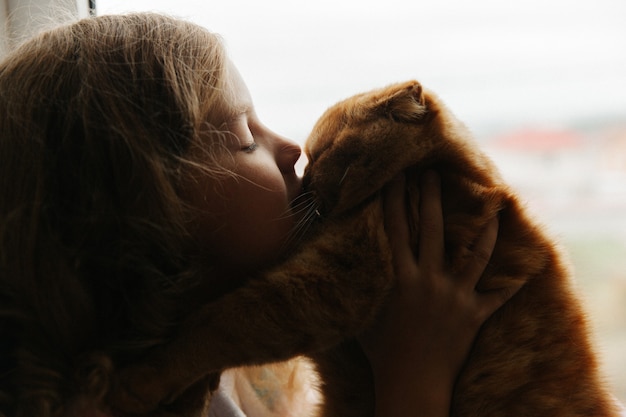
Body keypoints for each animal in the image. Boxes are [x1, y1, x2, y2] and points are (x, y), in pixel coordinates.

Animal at [113, 79, 620, 414]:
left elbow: (221, 322)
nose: (302, 181)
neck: (435, 174)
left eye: (322, 154)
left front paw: (144, 378)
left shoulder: (333, 282)